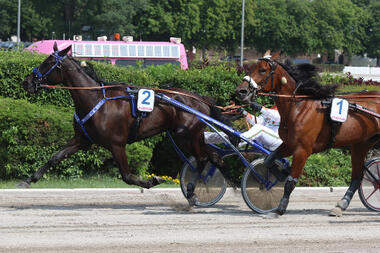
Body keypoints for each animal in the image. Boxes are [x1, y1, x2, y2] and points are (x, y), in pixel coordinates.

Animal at [21, 42, 232, 202]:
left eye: (48, 62)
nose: (26, 82)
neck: (95, 100)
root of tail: (202, 99)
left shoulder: (116, 144)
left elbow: (127, 176)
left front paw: (152, 181)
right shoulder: (83, 140)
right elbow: (55, 157)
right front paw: (30, 179)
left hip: (187, 135)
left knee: (203, 159)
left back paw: (192, 190)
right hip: (191, 136)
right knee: (213, 157)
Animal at [236, 50, 378, 216]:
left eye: (262, 70)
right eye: (252, 67)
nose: (241, 91)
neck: (298, 107)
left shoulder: (302, 150)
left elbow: (290, 182)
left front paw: (281, 207)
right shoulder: (289, 144)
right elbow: (269, 160)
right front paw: (281, 172)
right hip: (360, 144)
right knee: (356, 177)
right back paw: (341, 205)